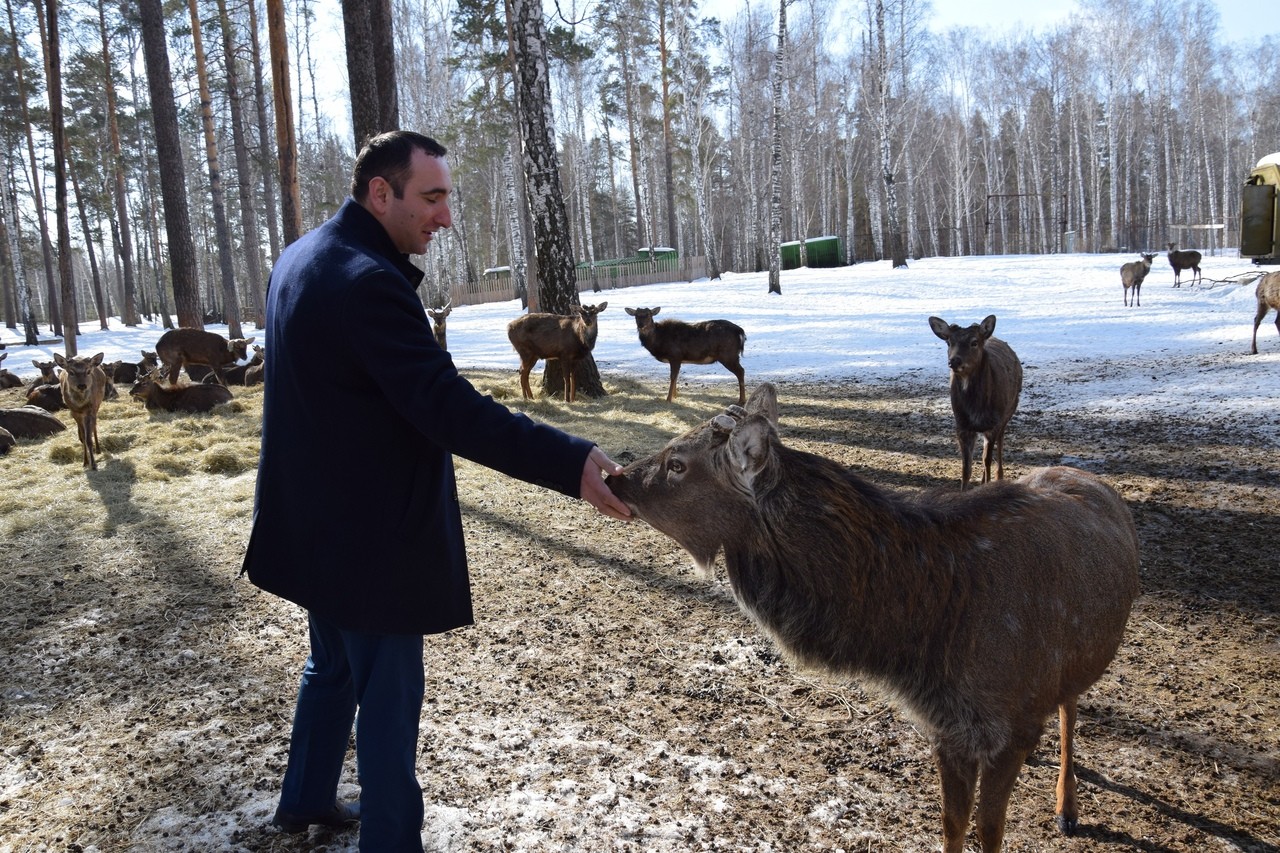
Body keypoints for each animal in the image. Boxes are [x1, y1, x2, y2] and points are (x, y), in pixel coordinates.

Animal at [606, 384, 1141, 850]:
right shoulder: (947, 727)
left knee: (1071, 708)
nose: (615, 476)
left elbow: (990, 832)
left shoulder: (1012, 723)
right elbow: (952, 824)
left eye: (677, 463)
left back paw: (1067, 808)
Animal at [931, 312, 1018, 489]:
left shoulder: (993, 424)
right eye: (949, 342)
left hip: (1009, 411)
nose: (954, 361)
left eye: (974, 342)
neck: (975, 407)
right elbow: (966, 469)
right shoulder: (962, 425)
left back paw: (999, 476)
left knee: (999, 445)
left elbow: (986, 461)